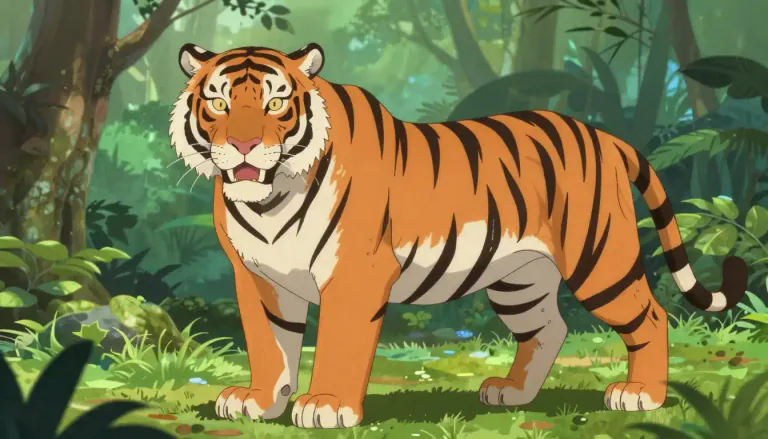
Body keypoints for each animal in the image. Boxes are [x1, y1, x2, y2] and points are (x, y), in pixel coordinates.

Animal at [169, 42, 748, 429]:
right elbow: (269, 343)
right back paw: (512, 394)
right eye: (219, 103)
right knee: (549, 328)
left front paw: (327, 405)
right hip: (520, 279)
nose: (244, 146)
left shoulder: (355, 273)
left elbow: (336, 343)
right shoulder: (257, 277)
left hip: (599, 258)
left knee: (650, 316)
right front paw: (258, 400)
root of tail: (604, 135)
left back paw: (640, 395)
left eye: (275, 103)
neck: (269, 202)